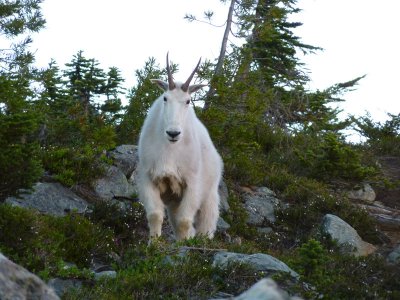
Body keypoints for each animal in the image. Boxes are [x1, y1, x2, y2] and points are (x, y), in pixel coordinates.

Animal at [138, 54, 223, 241]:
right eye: (165, 98)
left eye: (188, 101)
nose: (173, 133)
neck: (170, 150)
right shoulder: (148, 178)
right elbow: (155, 215)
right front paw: (153, 244)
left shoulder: (192, 185)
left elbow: (184, 221)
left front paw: (182, 246)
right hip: (174, 201)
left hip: (209, 195)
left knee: (206, 225)